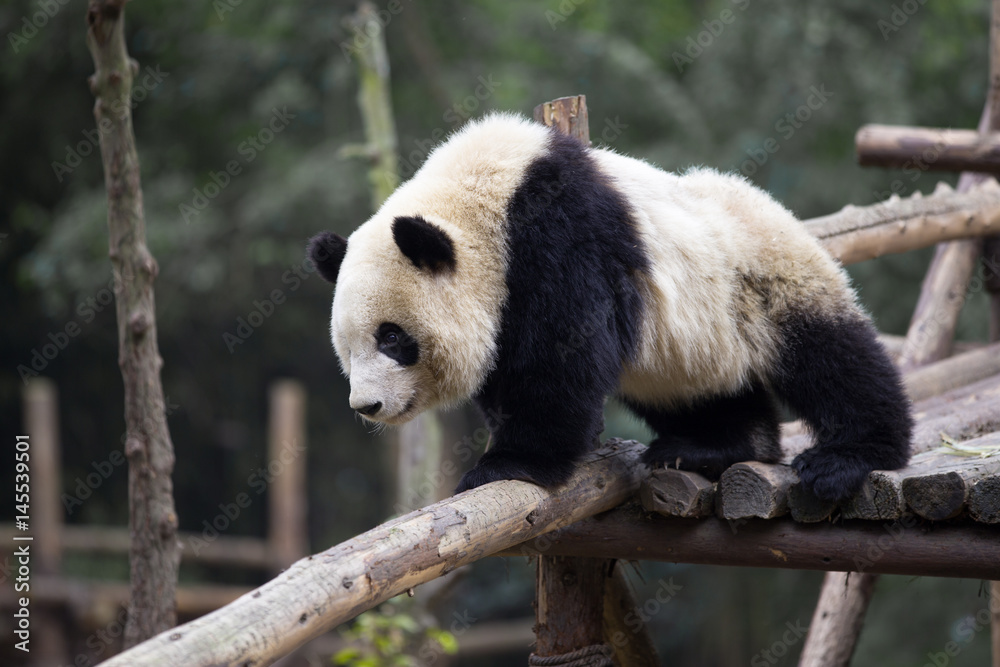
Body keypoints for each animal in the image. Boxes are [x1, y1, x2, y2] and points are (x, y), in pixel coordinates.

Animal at [308, 113, 912, 502]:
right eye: (347, 348)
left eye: (392, 337)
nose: (367, 406)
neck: (486, 197)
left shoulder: (559, 235)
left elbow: (562, 353)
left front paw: (511, 463)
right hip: (697, 345)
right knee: (702, 391)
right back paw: (713, 446)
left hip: (764, 276)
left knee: (833, 358)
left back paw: (848, 456)